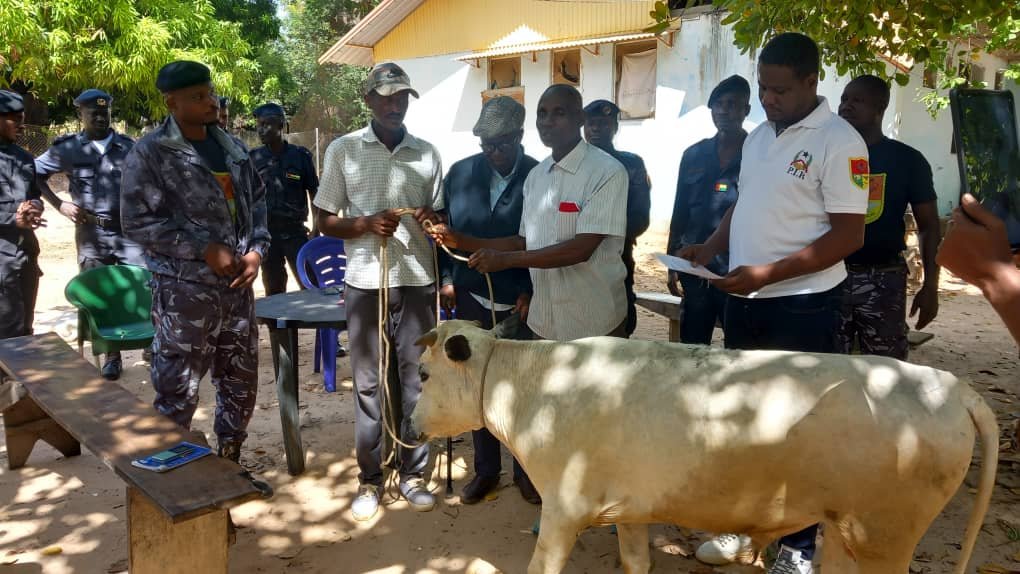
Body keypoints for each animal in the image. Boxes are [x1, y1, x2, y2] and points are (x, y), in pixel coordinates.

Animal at [408, 322, 995, 574]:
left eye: (423, 373)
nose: (410, 424)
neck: (533, 381)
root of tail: (952, 387)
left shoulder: (564, 508)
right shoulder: (630, 509)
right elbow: (635, 561)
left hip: (885, 537)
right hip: (848, 530)